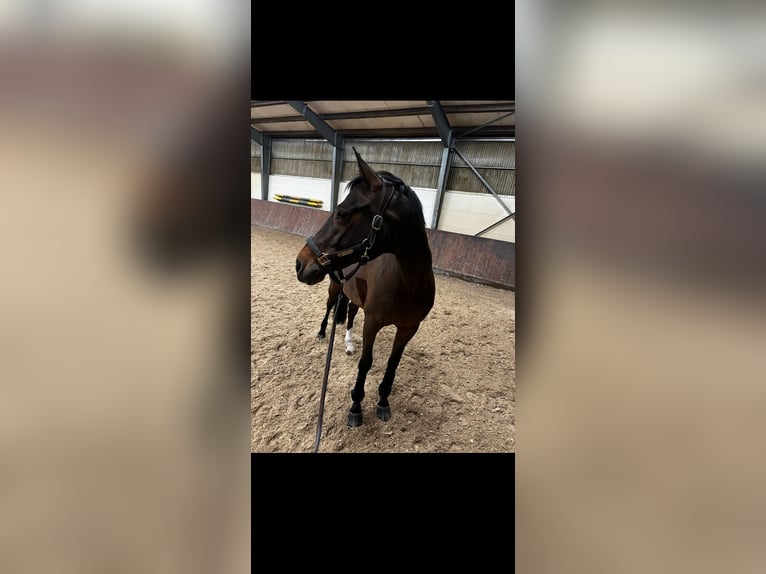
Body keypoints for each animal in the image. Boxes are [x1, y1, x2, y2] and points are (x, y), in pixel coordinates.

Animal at [295, 148, 435, 427]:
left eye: (342, 214)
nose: (300, 263)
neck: (409, 283)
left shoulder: (408, 328)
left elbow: (392, 364)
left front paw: (383, 402)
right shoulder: (372, 321)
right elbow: (366, 363)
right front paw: (356, 407)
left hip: (355, 297)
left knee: (349, 314)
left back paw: (349, 343)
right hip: (334, 290)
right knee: (330, 310)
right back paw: (322, 333)